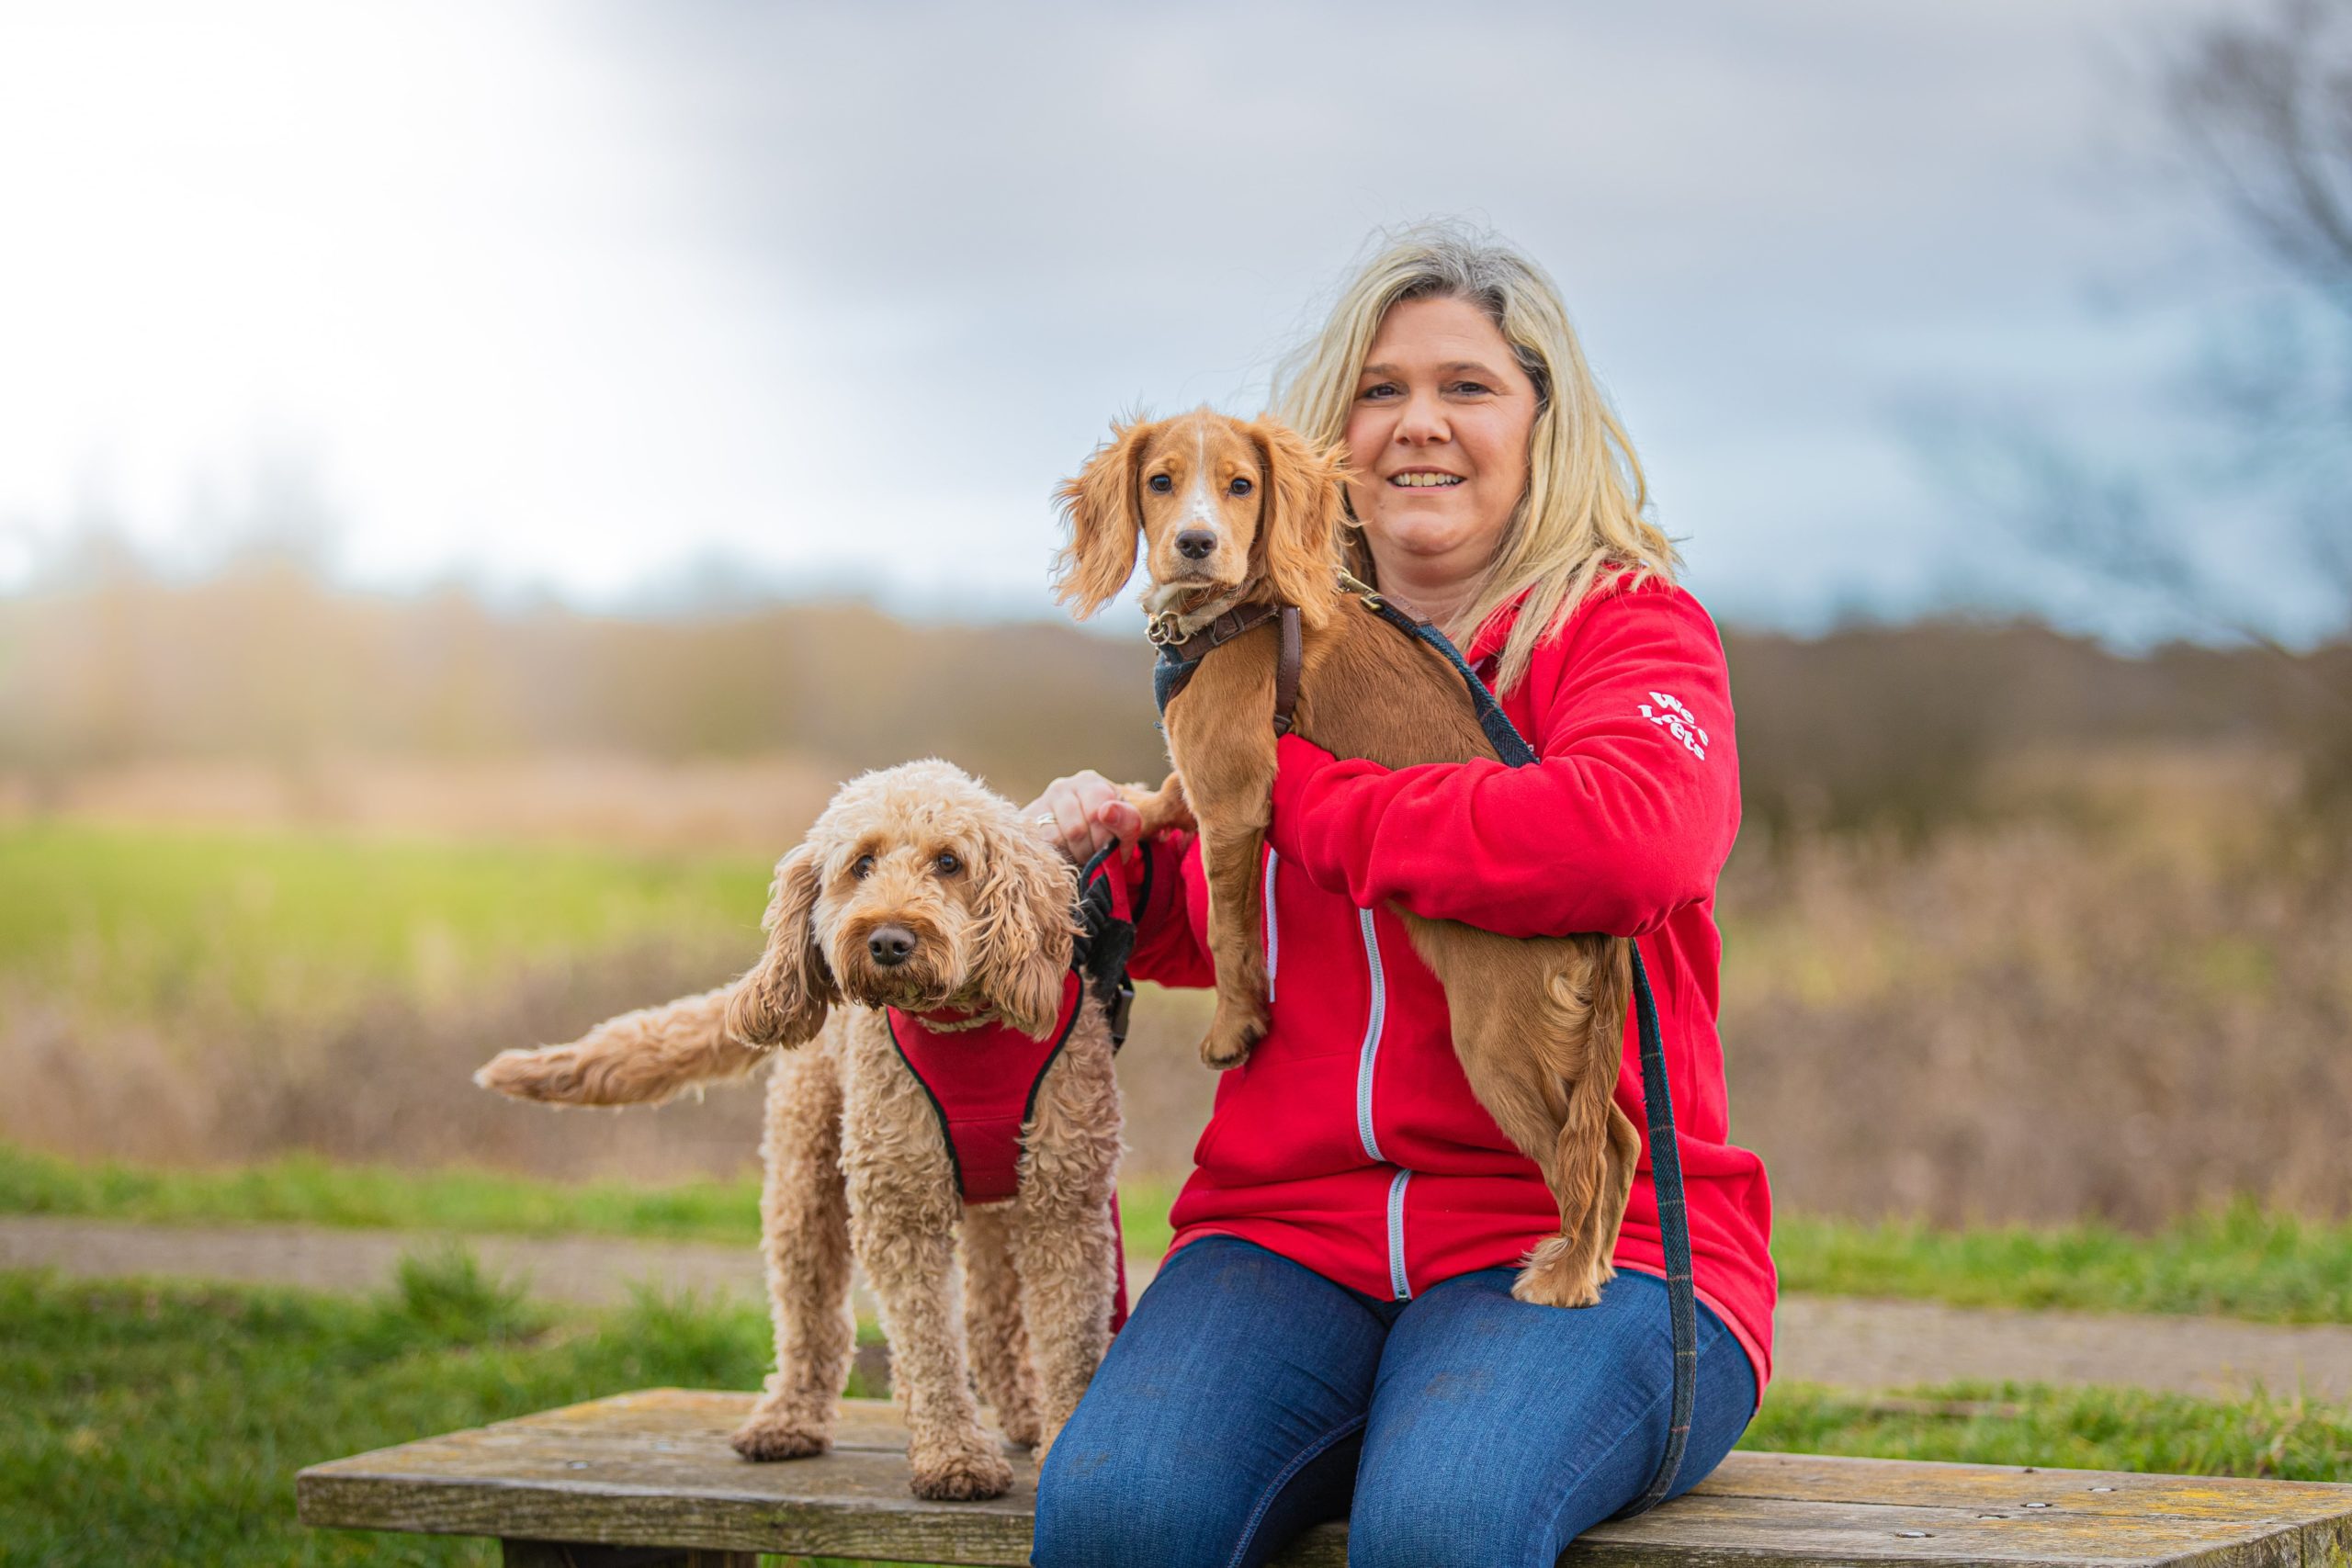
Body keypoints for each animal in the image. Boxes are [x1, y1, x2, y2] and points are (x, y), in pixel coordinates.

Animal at [475, 766, 1119, 1504]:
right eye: (861, 864)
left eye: (949, 862)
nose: (888, 940)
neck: (963, 1022)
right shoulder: (899, 1209)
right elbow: (927, 1344)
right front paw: (954, 1456)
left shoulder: (1064, 1205)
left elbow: (1068, 1339)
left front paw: (1063, 1444)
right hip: (805, 1182)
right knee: (812, 1315)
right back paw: (788, 1419)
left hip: (993, 1206)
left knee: (989, 1319)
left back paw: (1021, 1412)